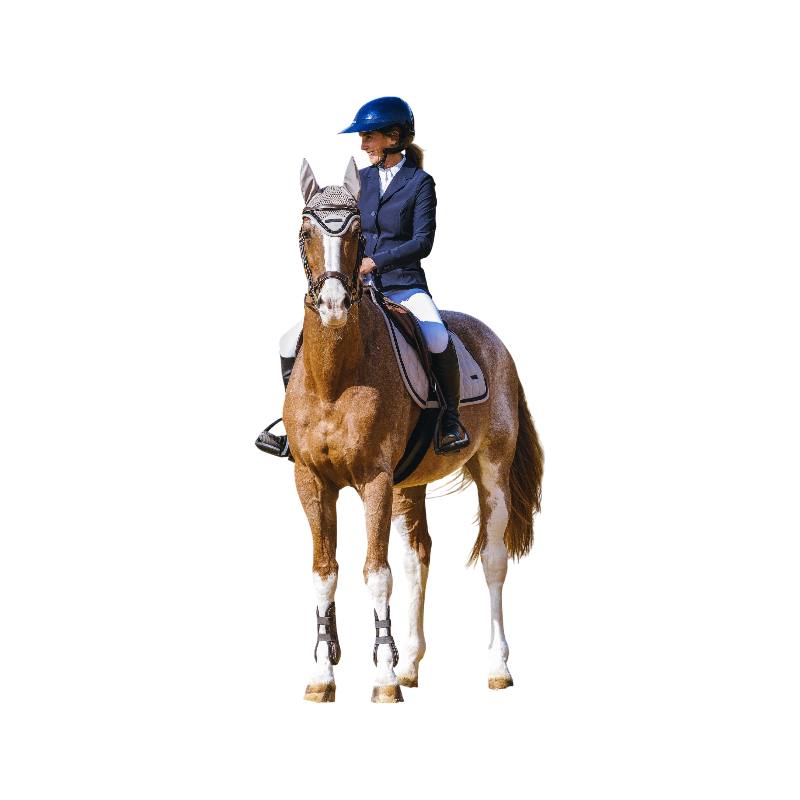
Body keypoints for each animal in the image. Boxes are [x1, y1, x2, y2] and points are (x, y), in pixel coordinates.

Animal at [281, 155, 544, 703]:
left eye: (359, 233)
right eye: (304, 231)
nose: (333, 306)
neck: (334, 377)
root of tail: (492, 338)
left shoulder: (374, 480)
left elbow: (376, 575)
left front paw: (381, 682)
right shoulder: (311, 481)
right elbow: (324, 574)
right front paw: (323, 678)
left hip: (492, 469)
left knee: (492, 561)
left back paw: (497, 669)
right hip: (407, 485)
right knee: (418, 560)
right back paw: (410, 666)